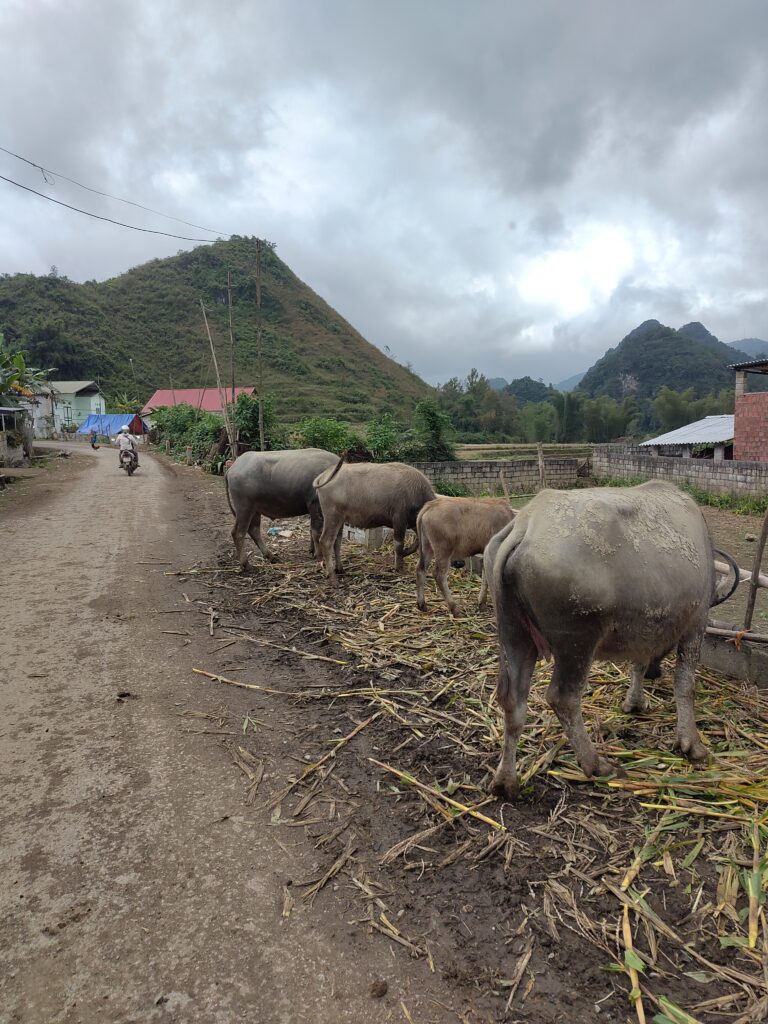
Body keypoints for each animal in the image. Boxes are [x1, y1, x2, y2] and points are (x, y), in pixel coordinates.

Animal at [485, 481, 738, 799]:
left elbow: (637, 664)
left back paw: (506, 780)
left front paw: (635, 702)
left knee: (513, 701)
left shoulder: (644, 629)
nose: (657, 672)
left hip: (514, 635)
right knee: (563, 698)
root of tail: (526, 524)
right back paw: (597, 765)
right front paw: (691, 744)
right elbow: (685, 684)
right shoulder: (696, 623)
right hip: (577, 642)